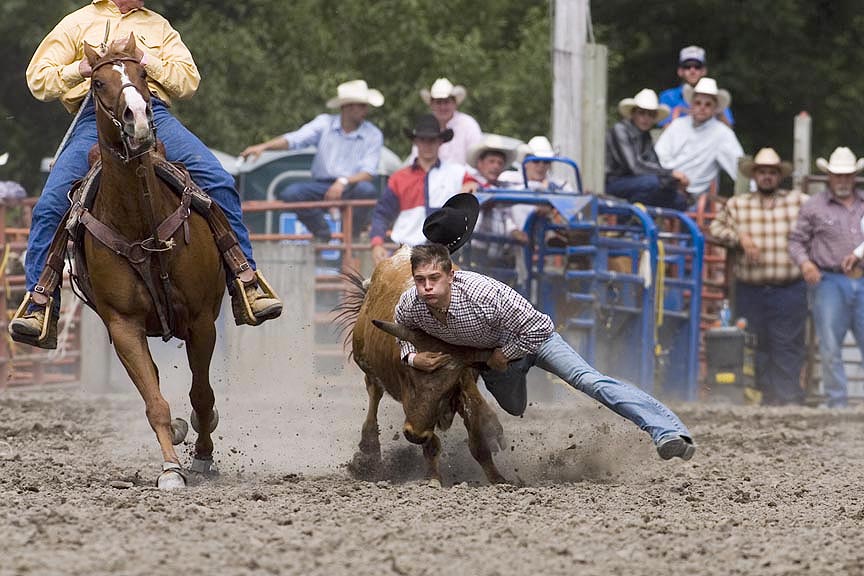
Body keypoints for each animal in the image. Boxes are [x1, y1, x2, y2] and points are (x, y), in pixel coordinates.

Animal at [82, 35, 223, 486]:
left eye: (143, 73)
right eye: (98, 83)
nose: (139, 120)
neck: (140, 224)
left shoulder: (201, 320)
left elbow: (202, 395)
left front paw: (201, 456)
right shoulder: (124, 326)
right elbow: (154, 402)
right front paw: (170, 469)